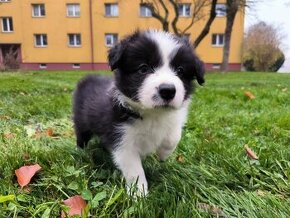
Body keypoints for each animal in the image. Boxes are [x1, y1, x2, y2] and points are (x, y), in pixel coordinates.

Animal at [72, 30, 204, 196]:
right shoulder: (123, 140)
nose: (167, 90)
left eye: (180, 71)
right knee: (81, 137)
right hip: (81, 121)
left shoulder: (173, 120)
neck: (153, 114)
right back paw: (81, 152)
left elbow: (173, 136)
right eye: (143, 68)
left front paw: (163, 154)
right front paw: (139, 194)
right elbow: (134, 170)